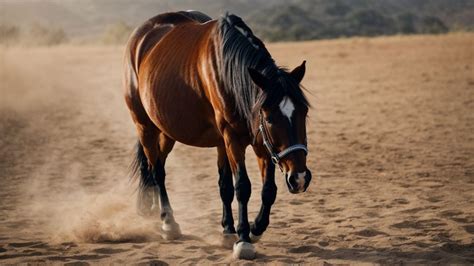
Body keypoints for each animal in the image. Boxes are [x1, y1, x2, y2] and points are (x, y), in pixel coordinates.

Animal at [124, 11, 312, 258]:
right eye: (270, 118)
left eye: (304, 112)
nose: (299, 178)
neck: (227, 70)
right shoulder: (233, 139)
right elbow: (242, 186)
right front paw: (243, 239)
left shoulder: (257, 143)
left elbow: (259, 189)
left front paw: (248, 229)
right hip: (145, 126)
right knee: (157, 172)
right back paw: (168, 222)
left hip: (167, 131)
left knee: (158, 165)